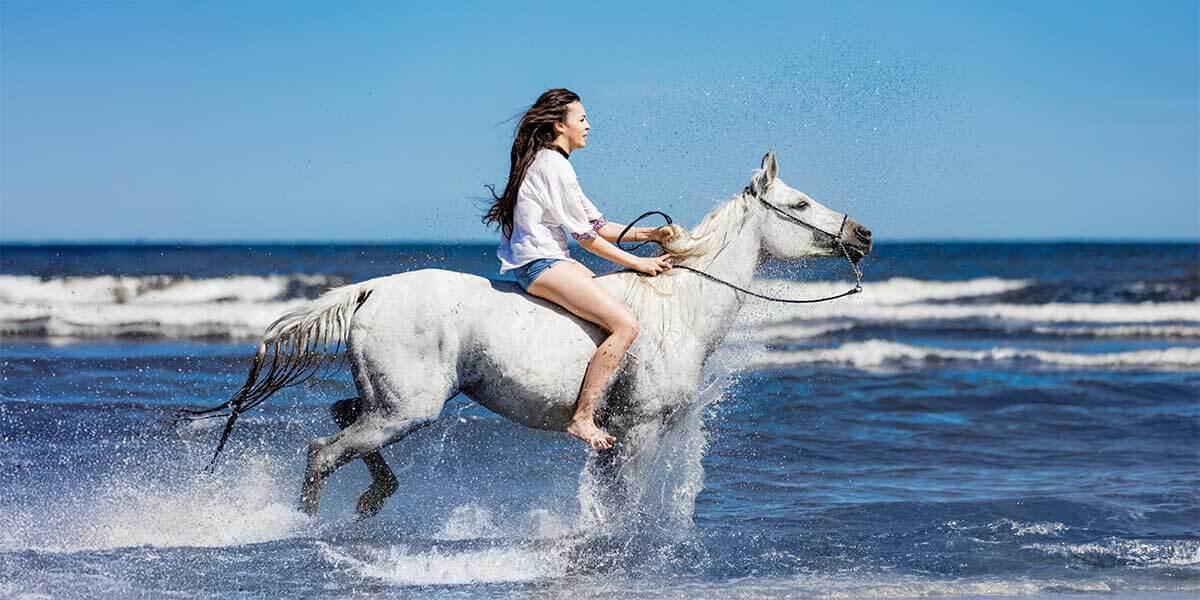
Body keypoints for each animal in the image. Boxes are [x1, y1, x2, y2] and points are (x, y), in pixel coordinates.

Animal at [182, 152, 868, 518]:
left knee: (340, 418)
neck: (682, 309)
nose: (862, 236)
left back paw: (374, 497)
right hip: (407, 408)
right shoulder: (639, 431)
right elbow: (626, 507)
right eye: (800, 205)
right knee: (323, 451)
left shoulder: (620, 442)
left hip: (390, 402)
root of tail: (372, 290)